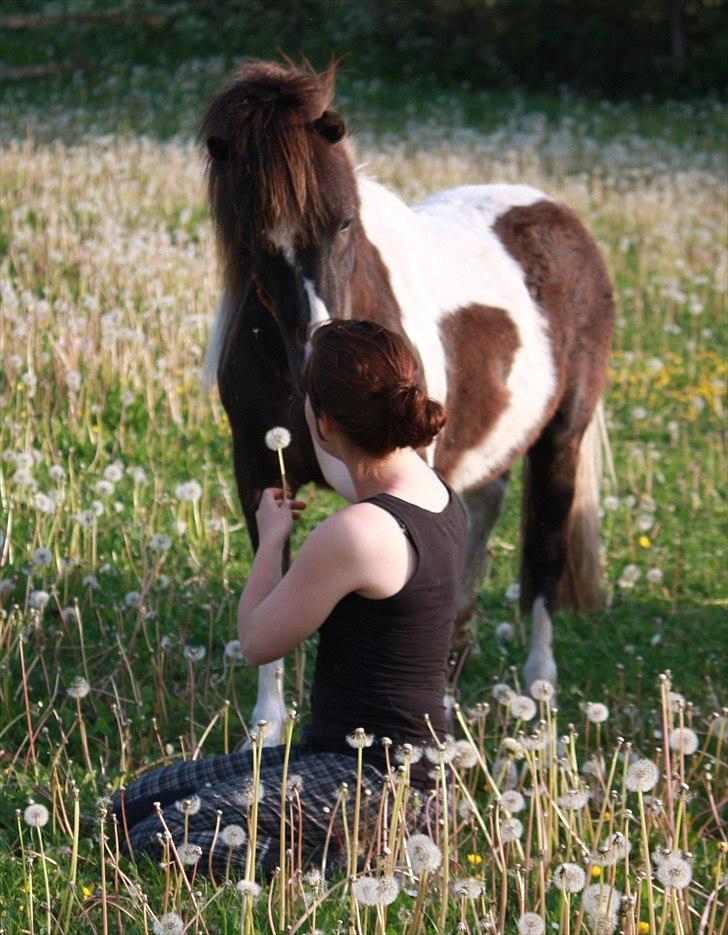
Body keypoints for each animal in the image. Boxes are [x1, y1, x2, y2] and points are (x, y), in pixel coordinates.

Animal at [200, 60, 616, 744]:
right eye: (255, 241)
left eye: (344, 222)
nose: (319, 352)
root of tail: (559, 214)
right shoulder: (258, 468)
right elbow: (274, 579)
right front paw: (266, 729)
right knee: (481, 514)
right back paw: (456, 661)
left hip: (562, 437)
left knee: (544, 556)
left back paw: (539, 686)